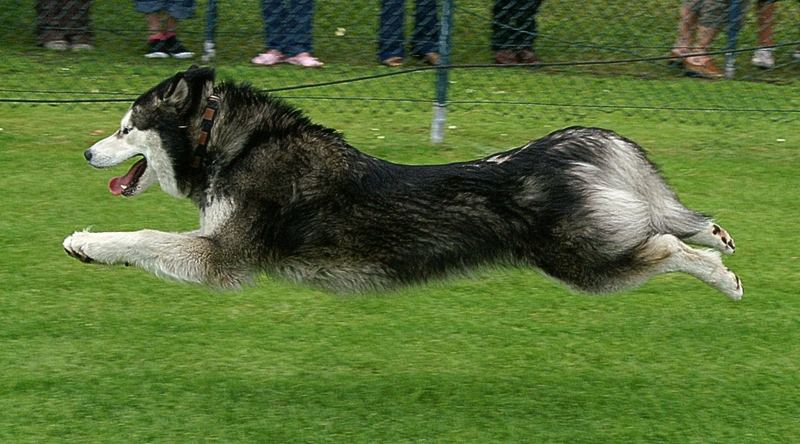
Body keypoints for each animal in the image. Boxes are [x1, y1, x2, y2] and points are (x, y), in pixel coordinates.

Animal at [64, 66, 744, 300]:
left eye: (125, 129)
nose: (87, 151)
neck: (229, 143)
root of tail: (557, 152)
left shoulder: (220, 257)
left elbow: (143, 237)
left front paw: (85, 243)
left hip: (586, 264)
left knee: (667, 246)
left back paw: (723, 277)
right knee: (671, 227)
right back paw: (716, 238)